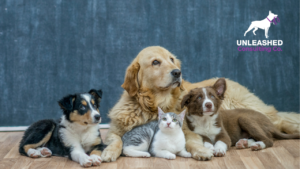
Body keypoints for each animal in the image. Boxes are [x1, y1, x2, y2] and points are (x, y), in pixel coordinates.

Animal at [101, 46, 300, 161]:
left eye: (171, 59)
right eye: (155, 62)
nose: (177, 72)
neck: (155, 105)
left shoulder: (189, 131)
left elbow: (193, 142)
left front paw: (202, 151)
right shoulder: (115, 130)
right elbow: (116, 141)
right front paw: (109, 152)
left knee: (278, 121)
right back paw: (246, 142)